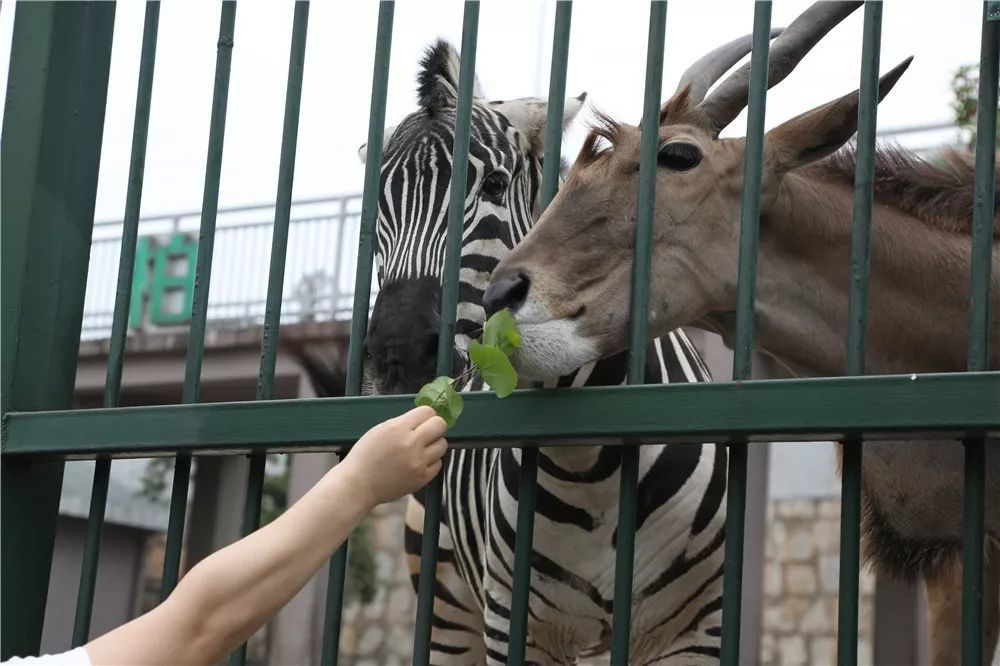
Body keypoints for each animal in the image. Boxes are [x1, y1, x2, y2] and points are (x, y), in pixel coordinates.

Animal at [304, 39, 728, 660]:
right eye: (373, 207)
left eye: (496, 187)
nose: (398, 355)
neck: (591, 467)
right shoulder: (512, 623)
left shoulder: (698, 631)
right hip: (447, 609)